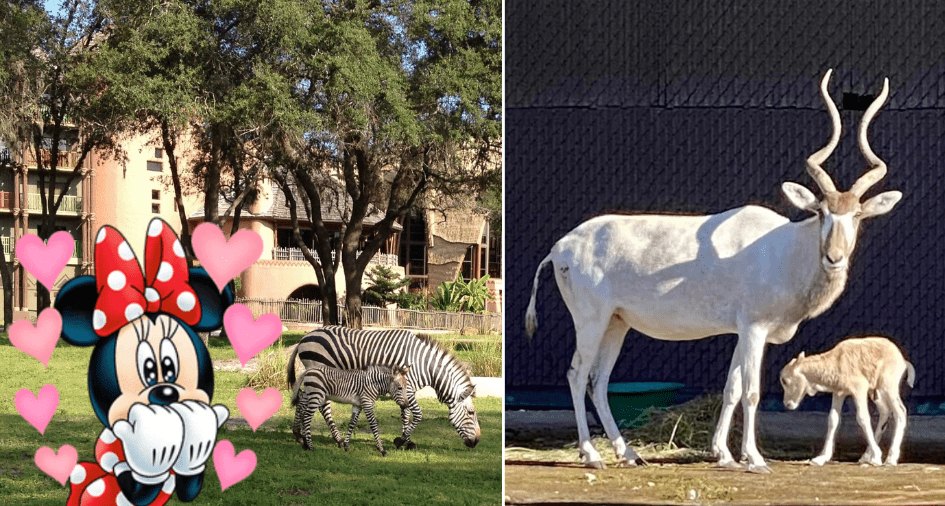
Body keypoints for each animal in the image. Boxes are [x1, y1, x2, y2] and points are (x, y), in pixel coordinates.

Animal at [286, 326, 481, 449]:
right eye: (471, 413)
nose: (477, 441)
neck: (424, 365)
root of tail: (304, 337)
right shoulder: (407, 387)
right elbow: (417, 415)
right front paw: (401, 441)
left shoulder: (405, 389)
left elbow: (405, 413)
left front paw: (406, 440)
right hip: (320, 373)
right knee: (321, 405)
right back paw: (337, 439)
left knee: (303, 398)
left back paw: (299, 435)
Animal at [781, 337, 915, 466]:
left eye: (785, 381)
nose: (787, 404)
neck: (837, 362)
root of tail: (902, 360)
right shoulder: (838, 393)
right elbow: (833, 420)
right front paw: (820, 458)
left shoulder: (859, 389)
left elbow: (863, 418)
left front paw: (877, 457)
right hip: (876, 392)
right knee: (885, 411)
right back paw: (865, 457)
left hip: (888, 387)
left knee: (900, 412)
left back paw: (890, 459)